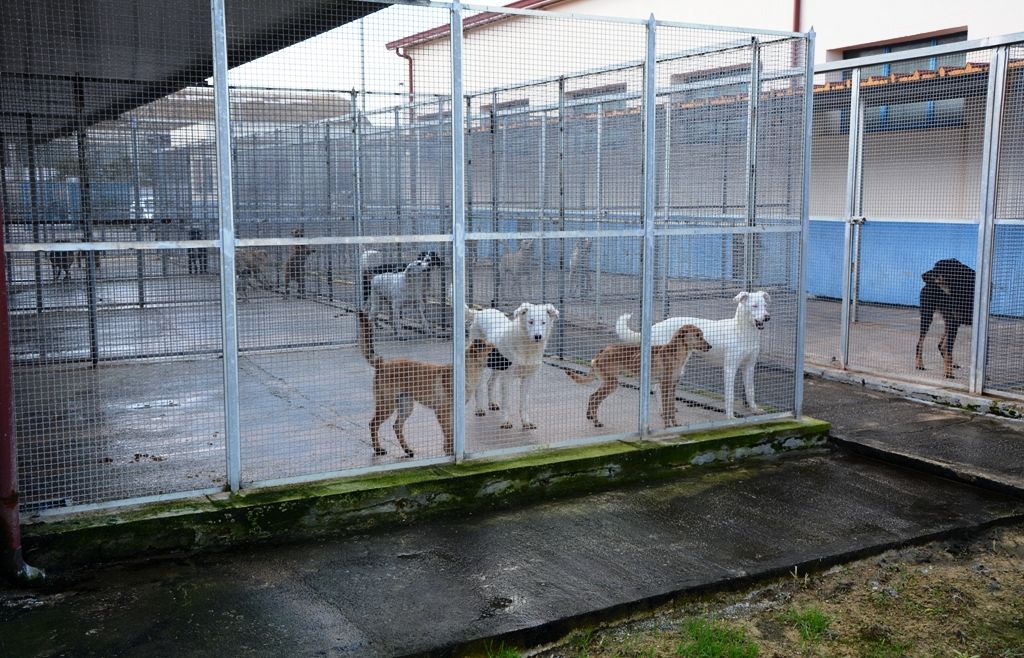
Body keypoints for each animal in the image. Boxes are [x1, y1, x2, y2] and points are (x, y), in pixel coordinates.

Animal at [356, 309, 491, 458]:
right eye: (494, 352)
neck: (465, 370)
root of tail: (382, 364)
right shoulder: (442, 412)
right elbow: (449, 434)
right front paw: (450, 452)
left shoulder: (452, 413)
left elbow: (451, 434)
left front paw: (449, 450)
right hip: (387, 405)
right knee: (373, 424)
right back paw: (378, 449)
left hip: (406, 406)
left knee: (396, 426)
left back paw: (407, 450)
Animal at [466, 300, 561, 429]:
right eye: (530, 322)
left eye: (543, 322)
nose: (538, 336)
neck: (527, 348)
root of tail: (480, 312)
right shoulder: (507, 377)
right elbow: (507, 402)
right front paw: (505, 422)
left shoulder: (528, 377)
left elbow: (524, 403)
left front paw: (526, 422)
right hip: (481, 365)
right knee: (479, 386)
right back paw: (479, 408)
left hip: (497, 366)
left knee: (490, 383)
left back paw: (491, 403)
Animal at [565, 323, 708, 427]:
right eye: (697, 335)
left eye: (701, 335)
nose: (709, 346)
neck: (677, 353)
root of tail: (603, 350)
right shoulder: (665, 386)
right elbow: (667, 409)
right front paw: (667, 426)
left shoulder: (673, 386)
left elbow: (671, 408)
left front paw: (676, 425)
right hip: (611, 384)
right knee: (595, 400)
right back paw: (596, 422)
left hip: (608, 383)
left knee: (592, 396)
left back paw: (589, 416)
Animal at [610, 292, 770, 417]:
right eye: (754, 306)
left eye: (764, 305)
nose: (767, 317)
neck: (743, 332)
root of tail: (655, 326)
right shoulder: (730, 368)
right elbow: (730, 396)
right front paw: (730, 417)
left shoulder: (749, 367)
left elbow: (750, 391)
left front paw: (755, 410)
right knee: (657, 388)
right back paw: (663, 411)